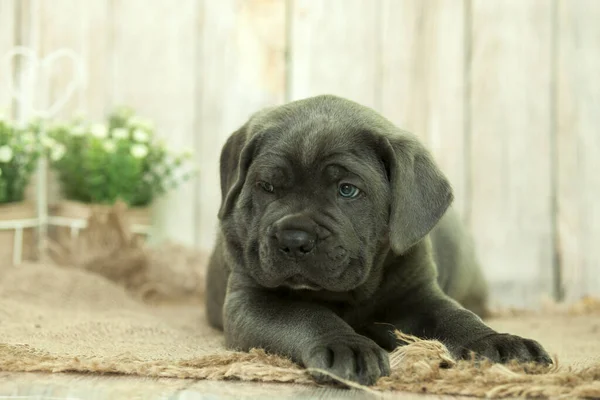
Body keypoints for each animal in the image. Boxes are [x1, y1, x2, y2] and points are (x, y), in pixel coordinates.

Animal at [205, 95, 548, 386]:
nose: (294, 239)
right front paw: (346, 346)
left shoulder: (420, 294)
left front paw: (498, 343)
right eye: (267, 186)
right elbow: (305, 315)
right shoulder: (249, 301)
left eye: (347, 190)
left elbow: (457, 317)